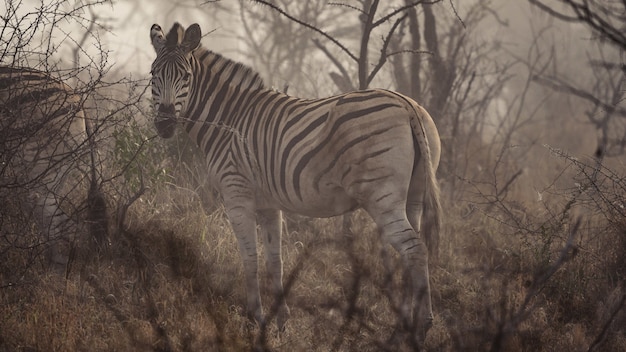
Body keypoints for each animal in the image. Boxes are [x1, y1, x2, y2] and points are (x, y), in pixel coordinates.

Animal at [147, 22, 438, 340]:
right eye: (153, 75)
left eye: (186, 77)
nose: (164, 124)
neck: (229, 119)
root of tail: (407, 105)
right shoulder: (268, 204)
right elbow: (275, 260)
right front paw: (281, 322)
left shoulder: (236, 195)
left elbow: (250, 258)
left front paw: (255, 319)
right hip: (413, 196)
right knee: (411, 252)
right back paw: (405, 325)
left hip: (382, 197)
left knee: (414, 249)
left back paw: (421, 326)